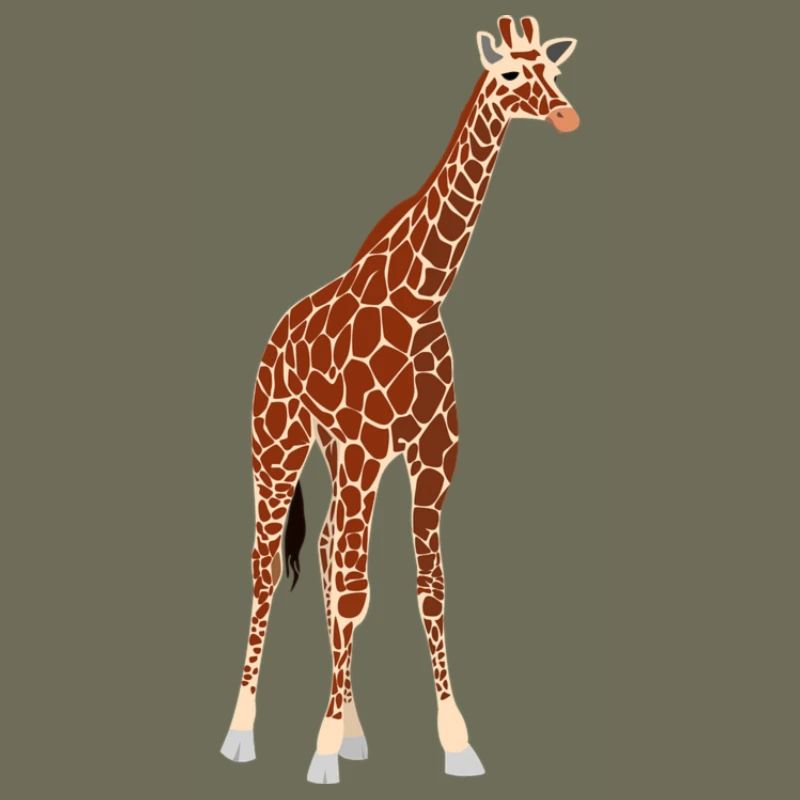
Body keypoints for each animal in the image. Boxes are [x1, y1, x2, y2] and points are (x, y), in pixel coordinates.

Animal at [220, 15, 580, 784]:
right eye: (510, 74)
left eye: (556, 71)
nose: (566, 115)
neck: (420, 298)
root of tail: (273, 337)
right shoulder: (364, 447)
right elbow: (356, 591)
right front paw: (321, 750)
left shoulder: (431, 457)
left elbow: (428, 589)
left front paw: (455, 742)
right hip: (279, 446)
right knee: (270, 570)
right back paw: (242, 732)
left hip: (340, 456)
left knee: (329, 551)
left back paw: (354, 729)